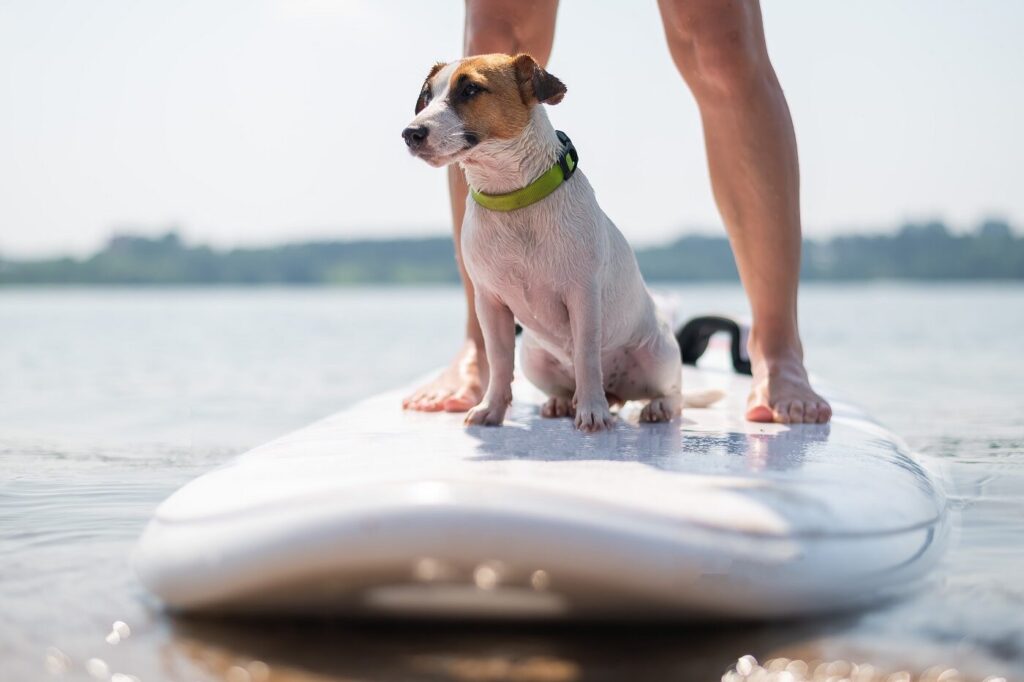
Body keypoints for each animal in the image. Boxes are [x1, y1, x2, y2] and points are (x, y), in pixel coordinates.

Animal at [401, 53, 712, 428]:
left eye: (470, 89)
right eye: (427, 96)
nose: (410, 133)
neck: (514, 198)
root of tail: (617, 392)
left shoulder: (583, 297)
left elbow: (586, 356)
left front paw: (592, 412)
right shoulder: (489, 303)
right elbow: (499, 361)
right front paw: (492, 409)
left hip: (658, 356)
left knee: (672, 394)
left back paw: (651, 407)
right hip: (534, 359)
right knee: (564, 384)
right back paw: (562, 402)